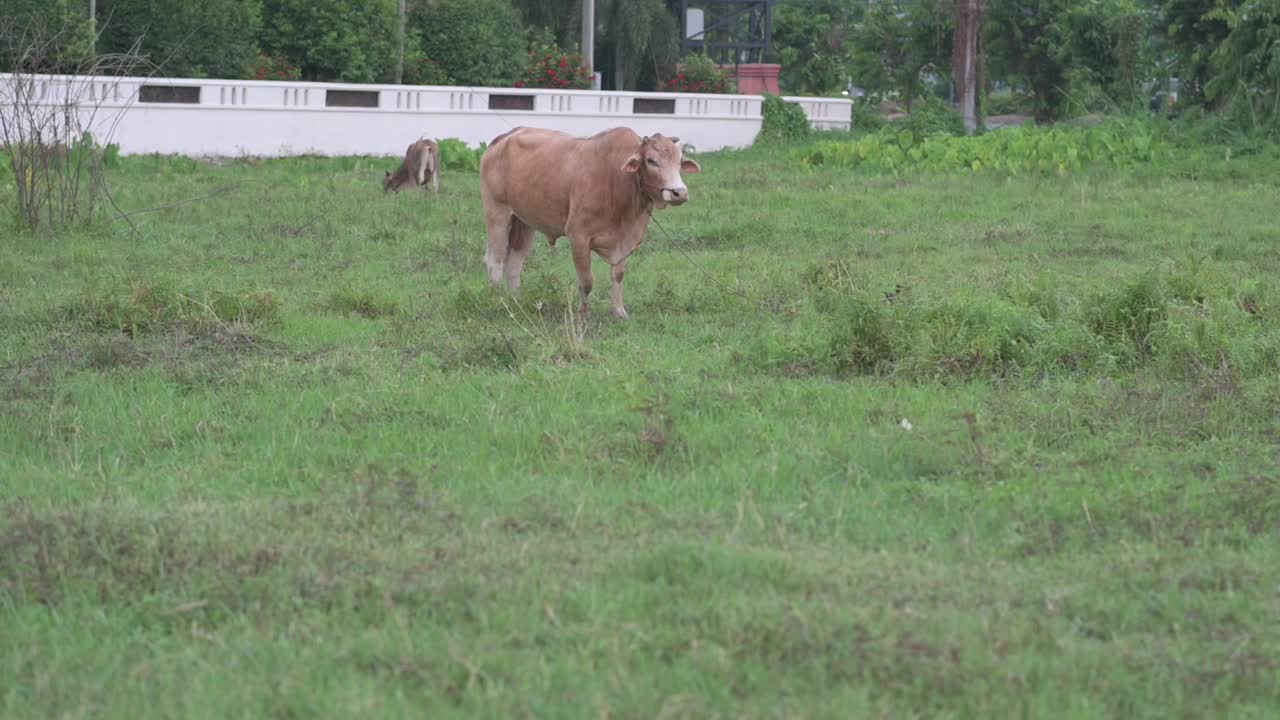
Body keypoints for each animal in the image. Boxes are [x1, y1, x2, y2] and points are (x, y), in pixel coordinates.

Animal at [481, 126, 701, 316]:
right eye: (651, 160)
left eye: (679, 161)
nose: (679, 193)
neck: (616, 179)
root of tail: (504, 138)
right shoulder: (578, 236)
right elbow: (587, 281)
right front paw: (584, 313)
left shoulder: (625, 241)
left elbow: (618, 275)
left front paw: (619, 311)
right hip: (497, 212)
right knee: (495, 261)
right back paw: (496, 300)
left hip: (524, 222)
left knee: (514, 263)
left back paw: (515, 301)